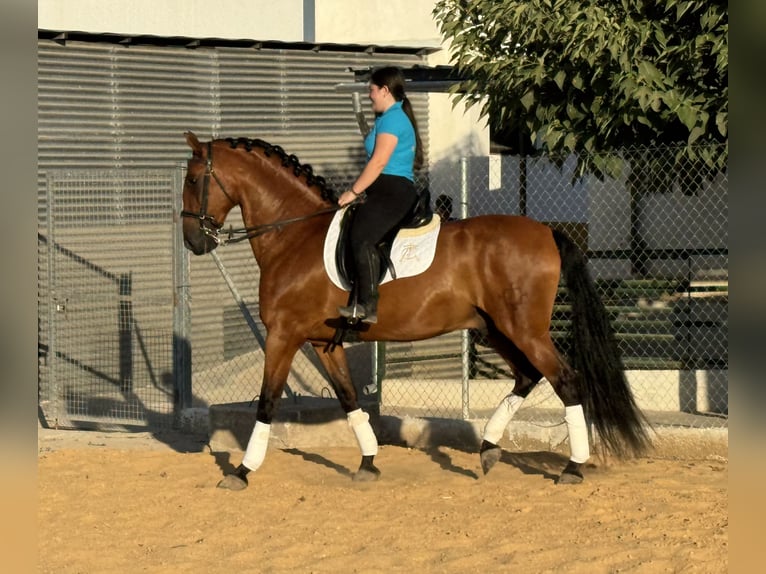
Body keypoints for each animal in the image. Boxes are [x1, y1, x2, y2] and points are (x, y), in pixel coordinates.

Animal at [182, 133, 656, 492]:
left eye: (192, 178)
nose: (192, 240)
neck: (294, 234)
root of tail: (545, 230)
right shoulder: (321, 342)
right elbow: (349, 398)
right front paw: (368, 462)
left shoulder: (283, 335)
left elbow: (267, 402)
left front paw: (242, 471)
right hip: (495, 329)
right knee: (527, 376)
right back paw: (488, 449)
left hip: (525, 330)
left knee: (566, 381)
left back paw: (572, 467)